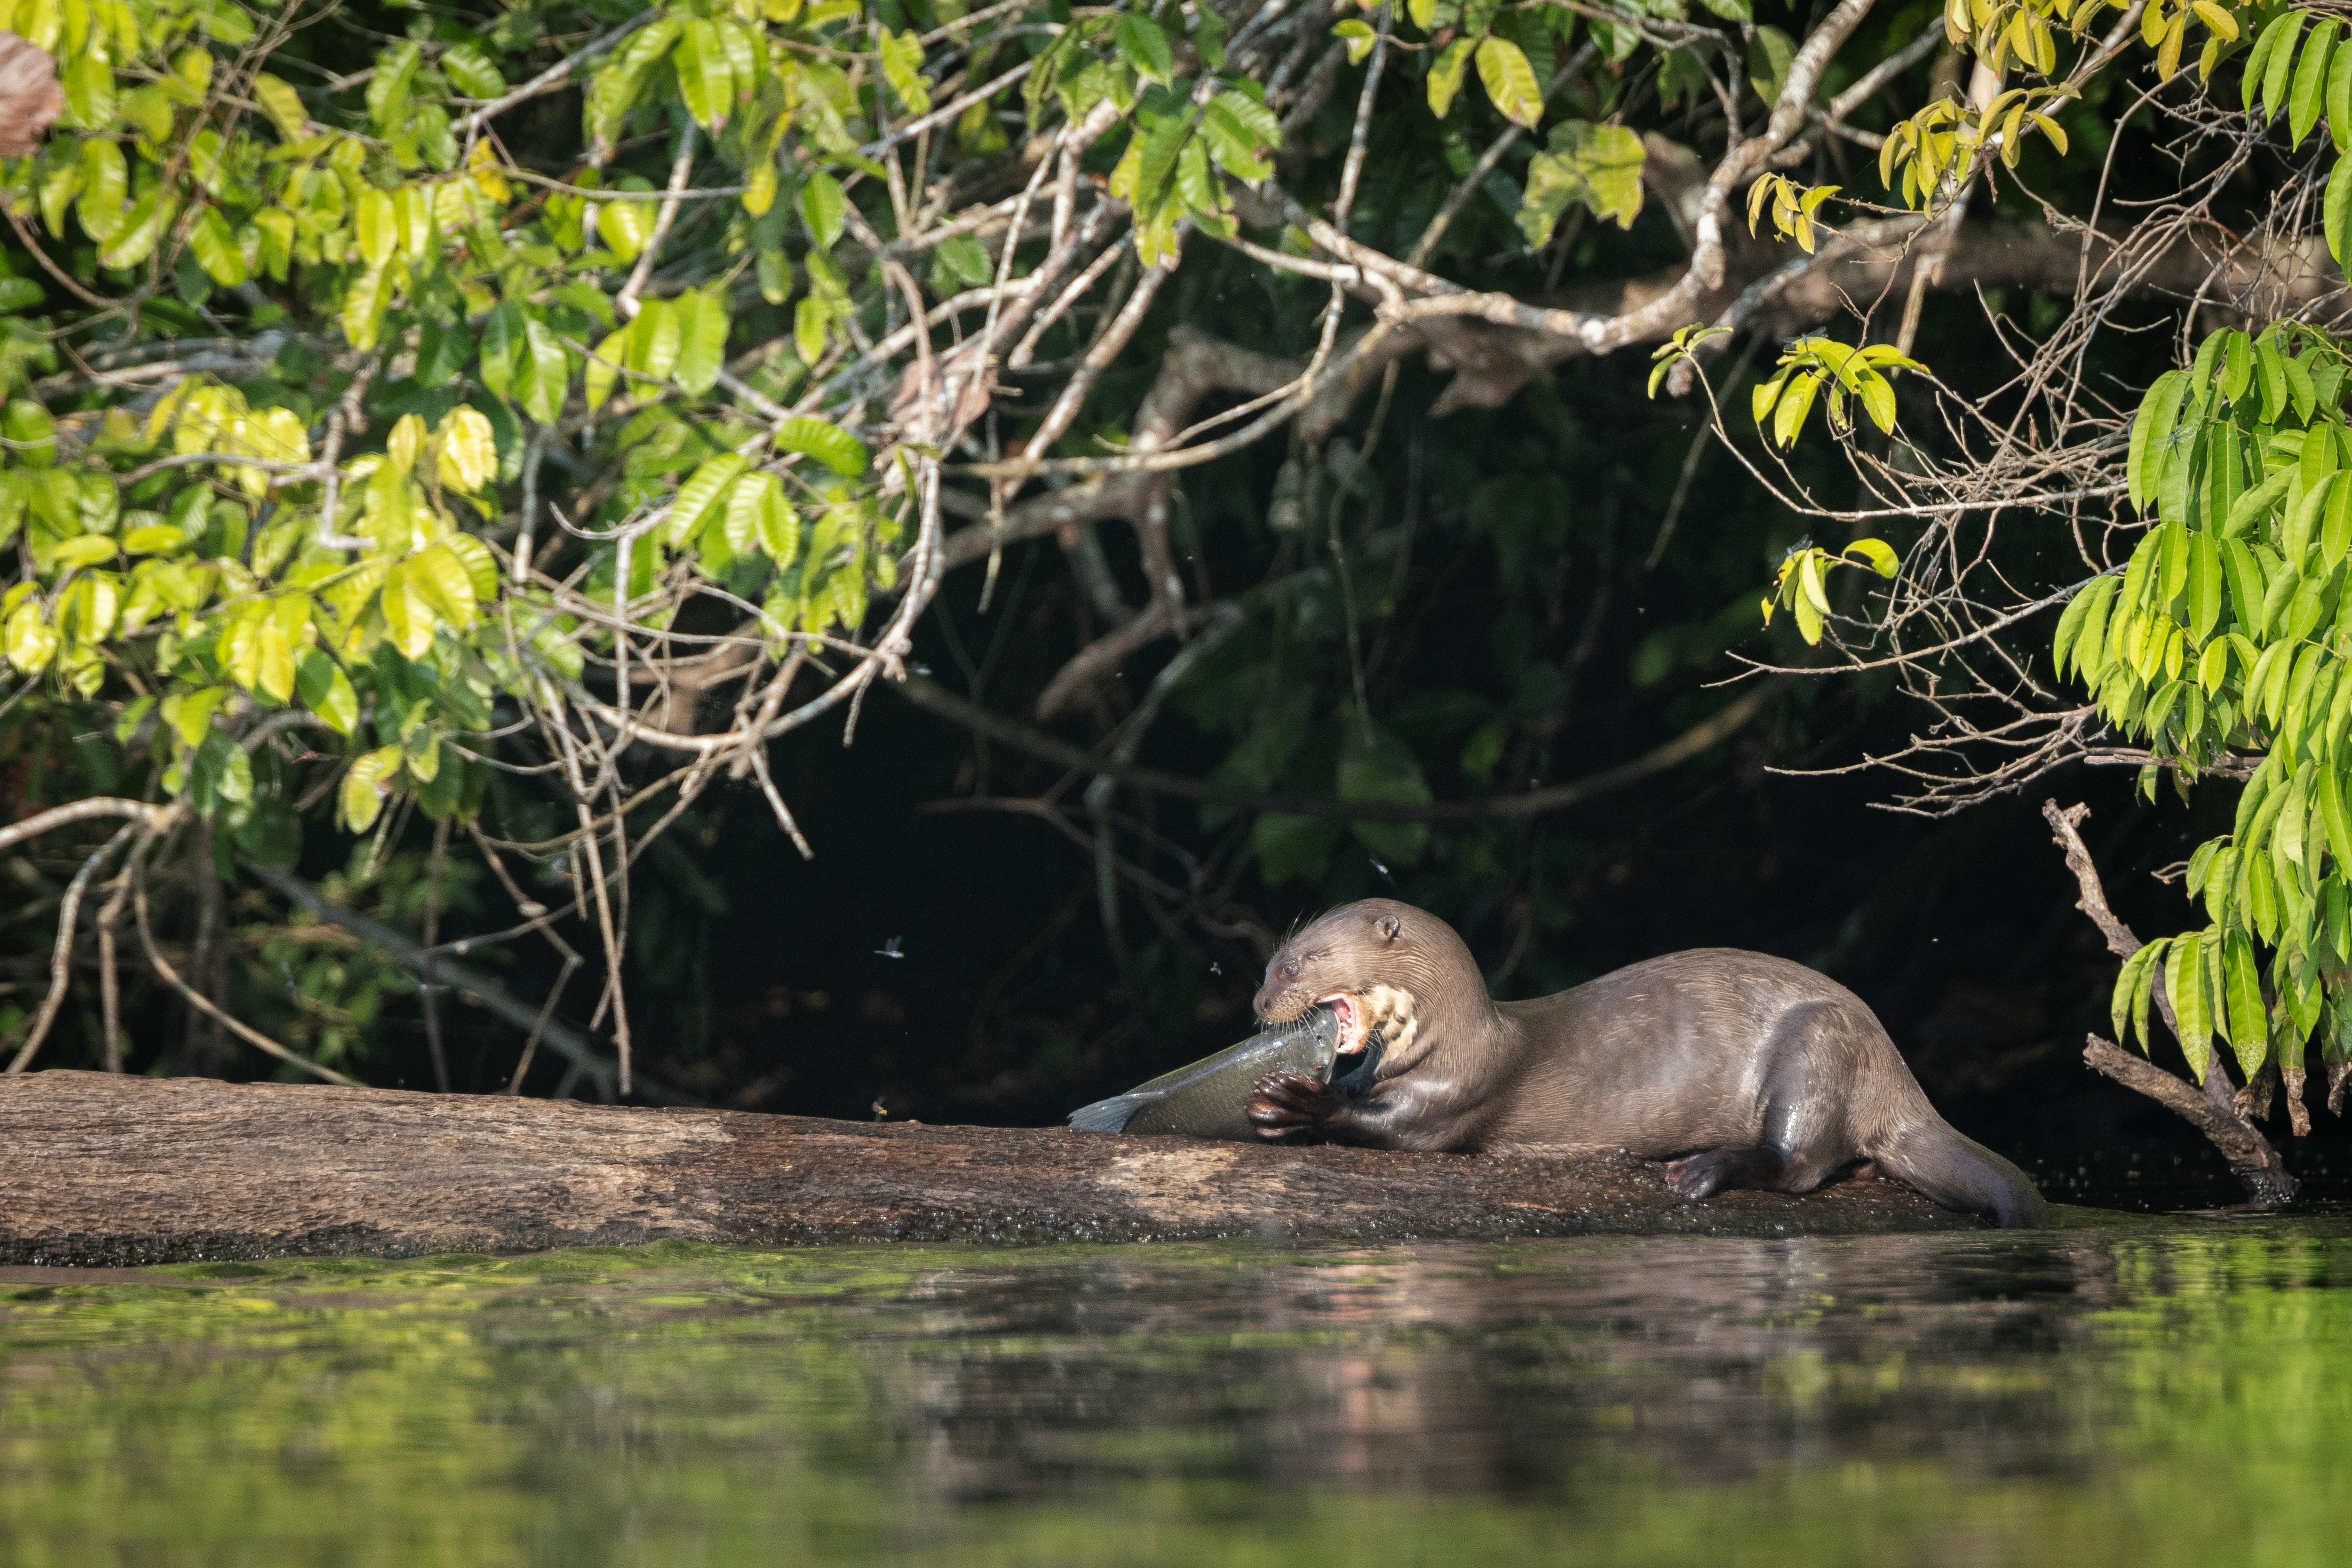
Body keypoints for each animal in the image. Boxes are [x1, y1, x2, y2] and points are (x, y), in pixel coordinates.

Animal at [1244, 899, 2046, 1228]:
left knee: (1800, 1165)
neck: (1458, 1032)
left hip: (1821, 1043)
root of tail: (1897, 1071)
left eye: (1298, 963)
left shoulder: (1455, 1091)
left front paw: (1297, 1104)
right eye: (1273, 962)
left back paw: (1703, 1169)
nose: (1258, 998)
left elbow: (1393, 1127)